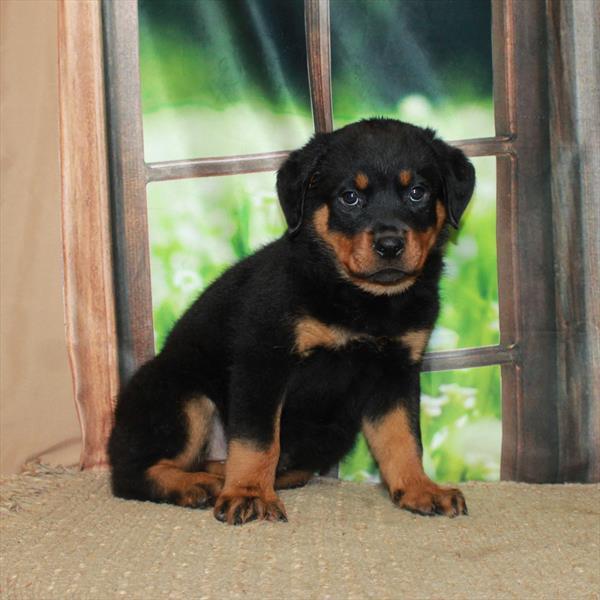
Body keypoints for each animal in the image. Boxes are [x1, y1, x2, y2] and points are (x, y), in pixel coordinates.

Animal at [108, 119, 474, 524]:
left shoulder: (396, 371)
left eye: (417, 193)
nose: (390, 245)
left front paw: (419, 489)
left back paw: (221, 475)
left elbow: (403, 438)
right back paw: (196, 484)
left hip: (330, 432)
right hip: (183, 393)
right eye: (349, 197)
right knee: (130, 473)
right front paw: (249, 494)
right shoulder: (263, 360)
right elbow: (258, 439)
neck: (362, 298)